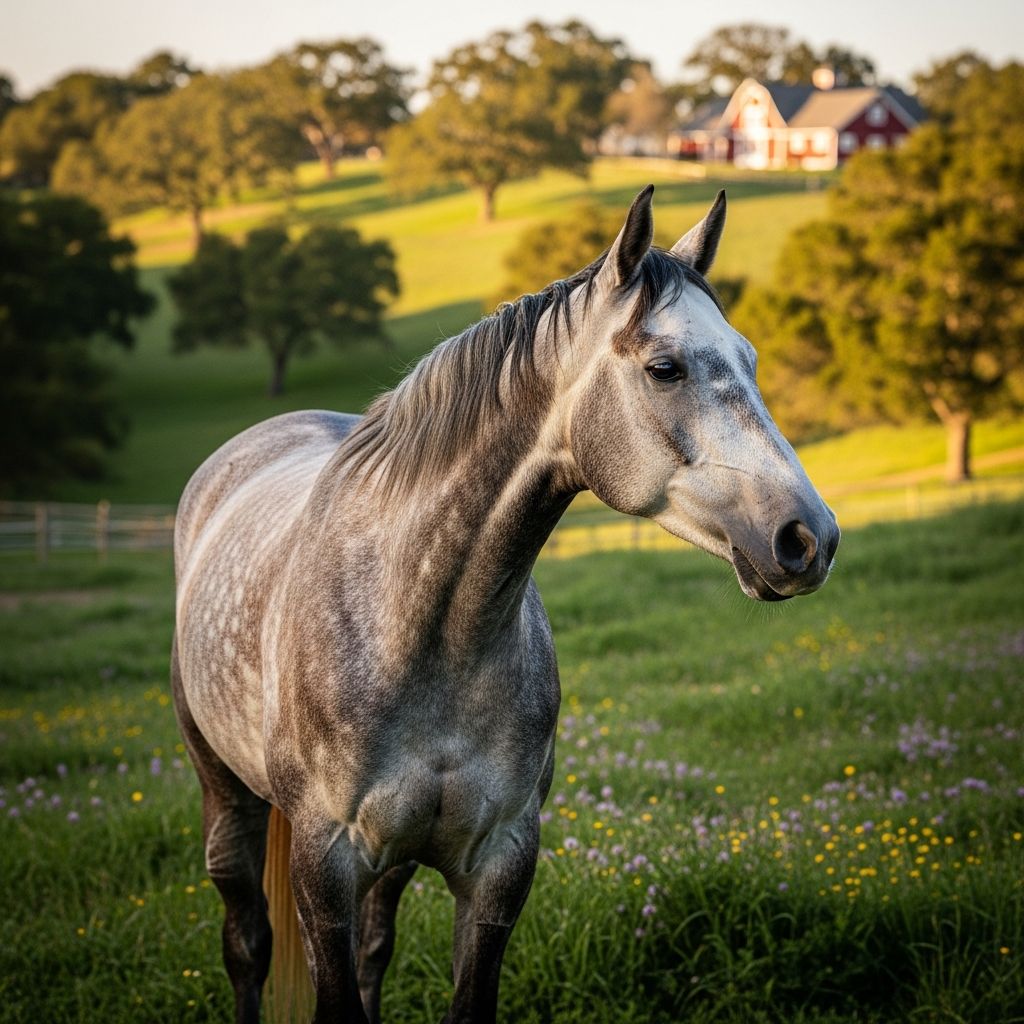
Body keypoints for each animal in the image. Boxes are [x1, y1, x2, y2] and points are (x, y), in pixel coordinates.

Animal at [172, 185, 840, 1024]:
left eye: (748, 358)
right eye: (665, 368)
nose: (809, 538)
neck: (423, 629)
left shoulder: (500, 863)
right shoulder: (326, 865)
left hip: (392, 860)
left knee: (374, 949)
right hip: (227, 797)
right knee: (247, 944)